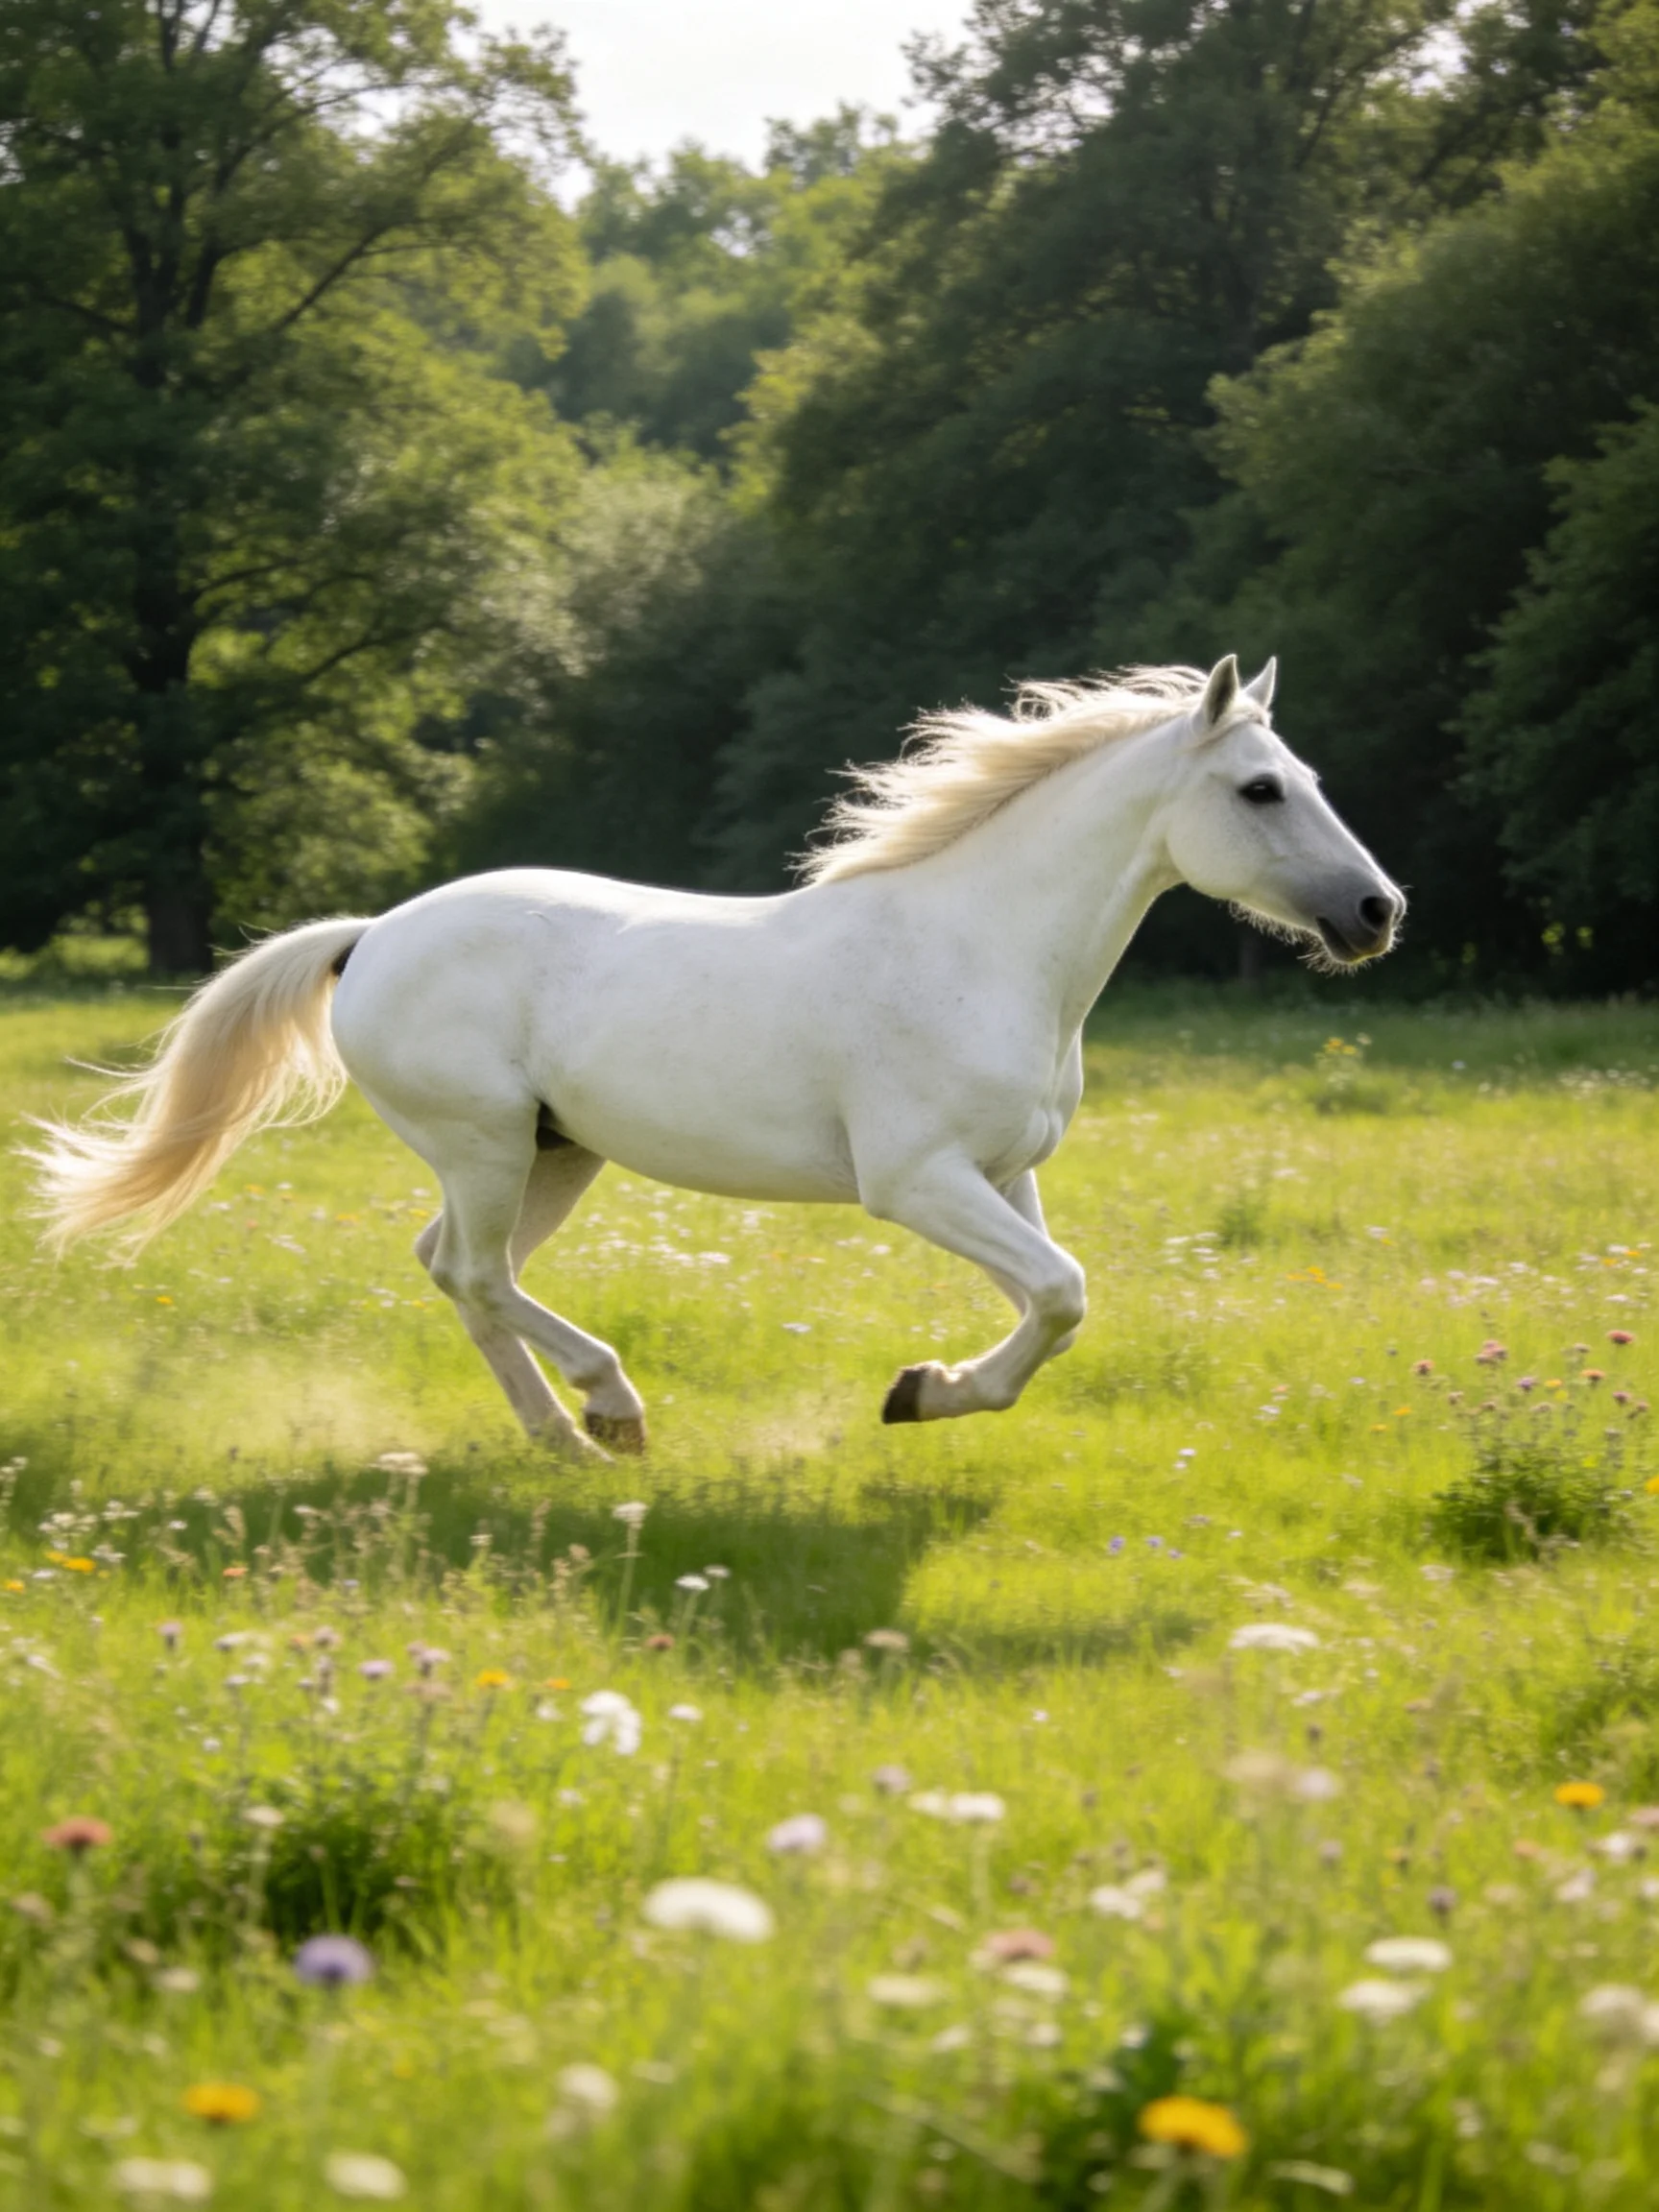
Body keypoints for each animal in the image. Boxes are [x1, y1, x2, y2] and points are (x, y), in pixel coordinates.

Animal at [31, 655, 1403, 1457]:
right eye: (1263, 790)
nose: (1379, 913)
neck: (981, 950)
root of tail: (369, 937)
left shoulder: (1006, 1176)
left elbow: (1054, 1308)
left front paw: (928, 1388)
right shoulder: (915, 1182)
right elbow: (1063, 1293)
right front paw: (917, 1394)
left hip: (550, 1155)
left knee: (457, 1273)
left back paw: (565, 1439)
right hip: (483, 1144)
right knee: (472, 1273)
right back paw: (611, 1408)